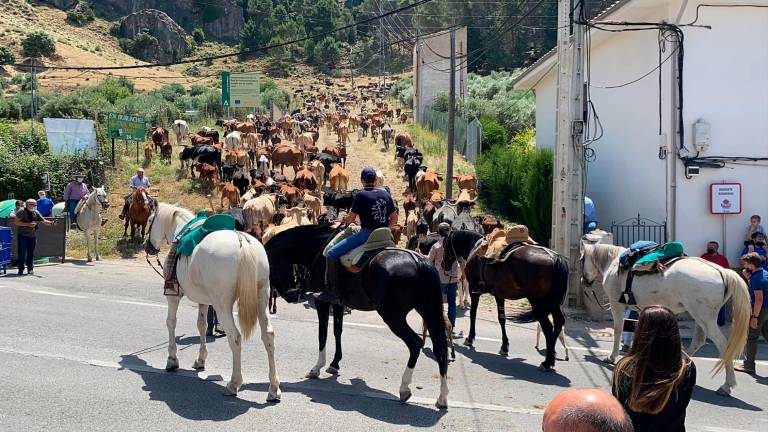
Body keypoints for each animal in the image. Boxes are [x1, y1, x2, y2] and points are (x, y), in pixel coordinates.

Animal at [143, 204, 280, 400]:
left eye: (149, 220)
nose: (146, 246)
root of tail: (242, 243)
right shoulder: (204, 301)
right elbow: (202, 325)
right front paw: (200, 360)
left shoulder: (173, 296)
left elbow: (171, 323)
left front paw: (172, 360)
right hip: (262, 296)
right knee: (268, 336)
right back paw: (274, 388)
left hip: (223, 306)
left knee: (235, 337)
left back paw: (233, 384)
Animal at [264, 224, 450, 406]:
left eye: (269, 266)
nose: (292, 295)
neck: (319, 248)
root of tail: (419, 261)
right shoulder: (338, 303)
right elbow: (337, 331)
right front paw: (334, 363)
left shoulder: (322, 303)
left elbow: (322, 334)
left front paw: (317, 368)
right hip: (427, 310)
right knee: (440, 347)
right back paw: (442, 398)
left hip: (393, 316)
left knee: (415, 343)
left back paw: (404, 388)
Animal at [584, 243, 752, 394]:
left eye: (581, 258)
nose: (585, 282)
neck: (613, 262)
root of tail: (721, 271)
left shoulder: (616, 305)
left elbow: (618, 330)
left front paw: (611, 357)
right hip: (700, 317)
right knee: (698, 341)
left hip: (705, 319)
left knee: (723, 345)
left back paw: (727, 385)